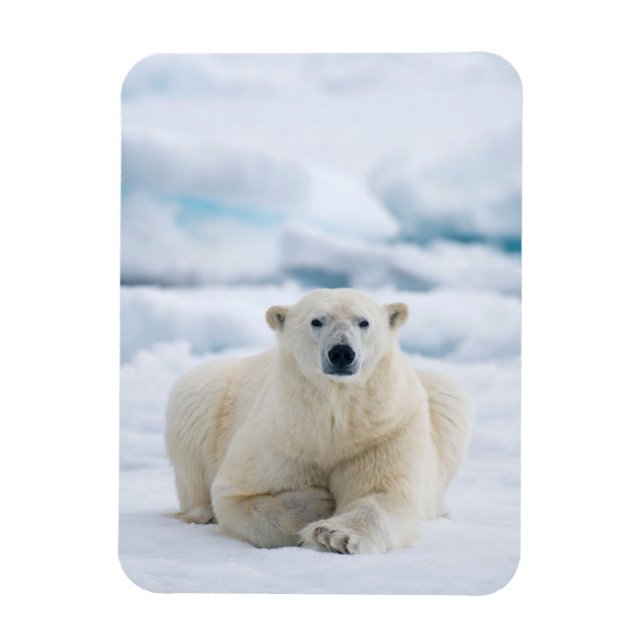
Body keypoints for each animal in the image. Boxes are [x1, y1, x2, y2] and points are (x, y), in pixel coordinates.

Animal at [165, 288, 473, 554]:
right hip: (207, 391)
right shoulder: (279, 435)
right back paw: (200, 512)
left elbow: (385, 493)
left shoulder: (385, 431)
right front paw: (320, 503)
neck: (332, 422)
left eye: (363, 321)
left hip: (442, 398)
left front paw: (333, 535)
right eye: (316, 320)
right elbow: (236, 496)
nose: (341, 352)